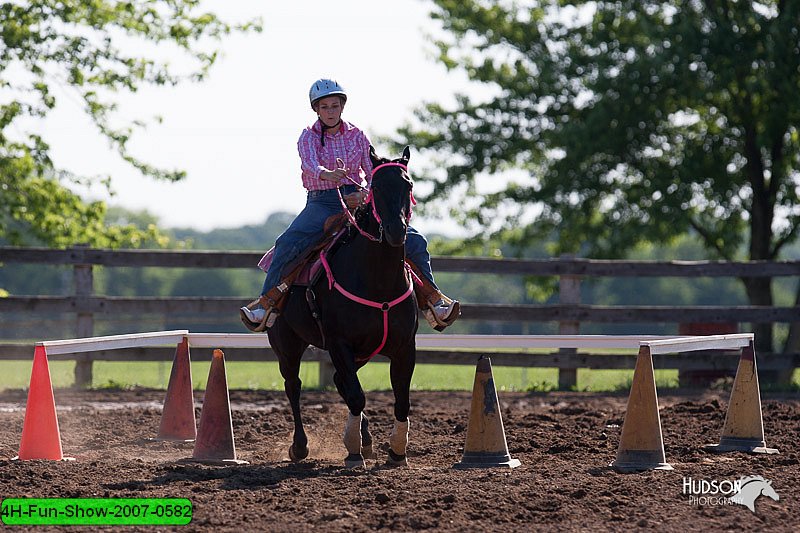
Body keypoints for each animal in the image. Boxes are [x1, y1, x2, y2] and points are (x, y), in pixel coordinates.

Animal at [268, 145, 418, 466]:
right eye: (375, 187)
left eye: (408, 185)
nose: (395, 230)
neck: (377, 281)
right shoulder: (339, 343)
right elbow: (357, 395)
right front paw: (352, 450)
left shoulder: (404, 347)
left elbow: (401, 400)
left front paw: (396, 451)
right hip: (287, 345)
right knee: (294, 386)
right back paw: (300, 447)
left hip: (362, 352)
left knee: (340, 381)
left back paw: (367, 438)